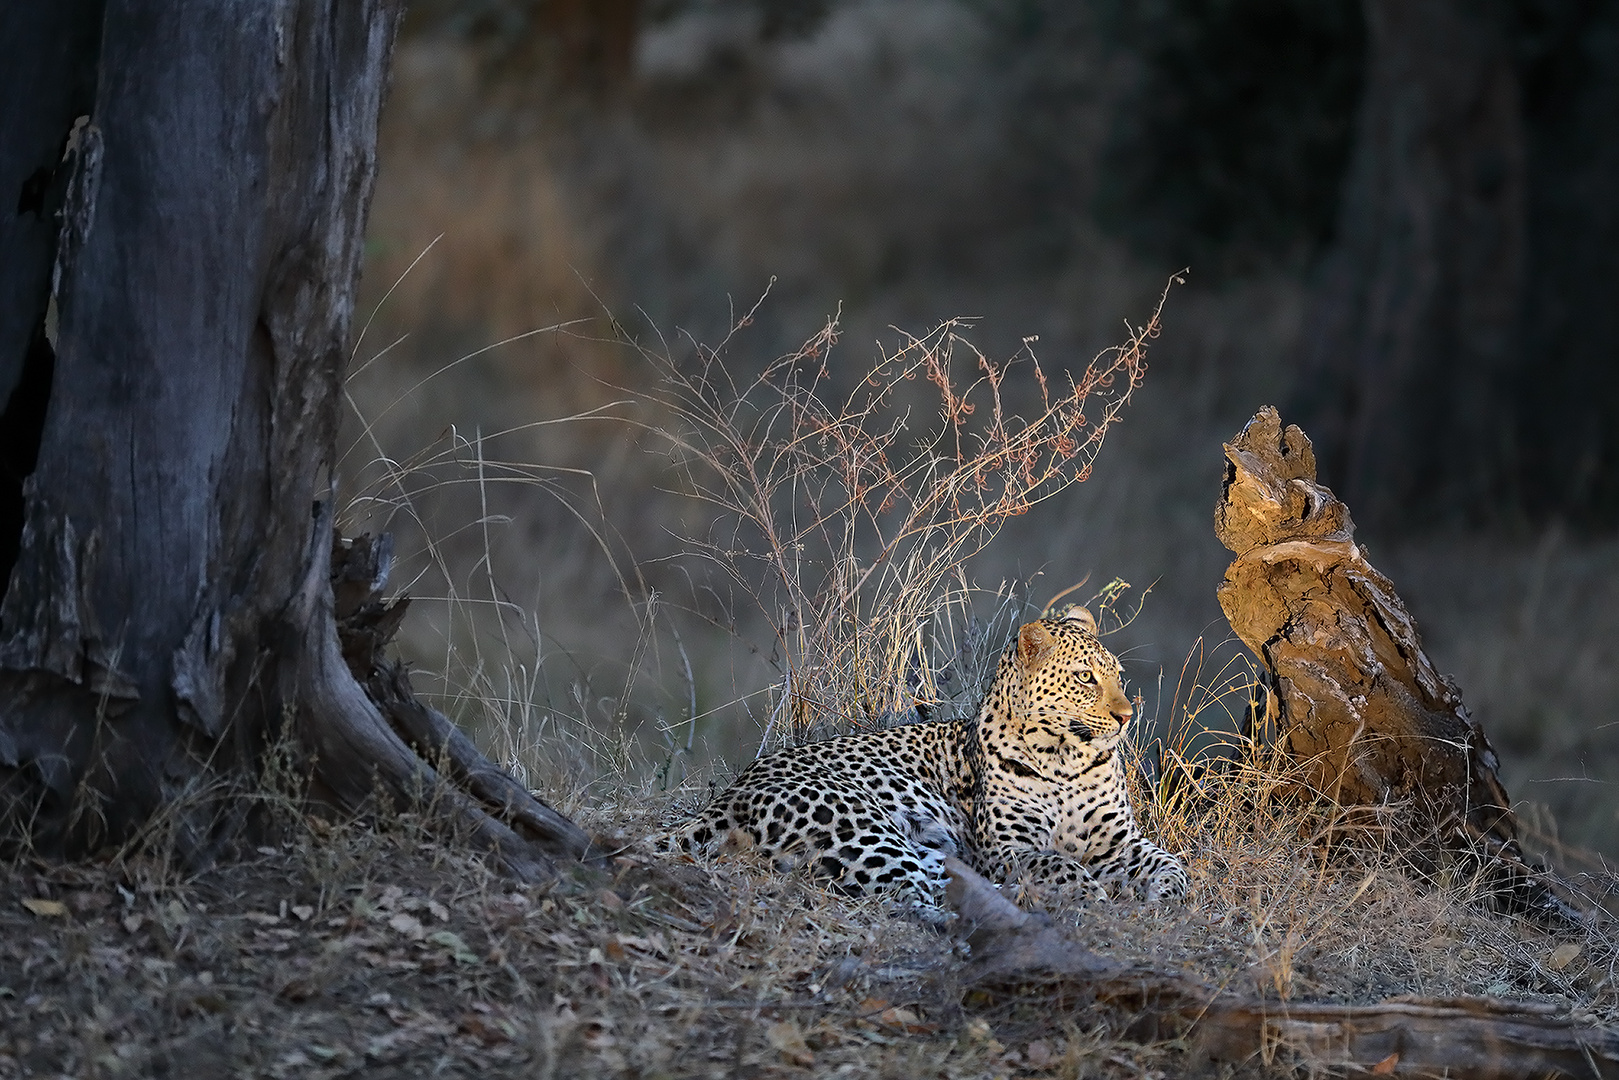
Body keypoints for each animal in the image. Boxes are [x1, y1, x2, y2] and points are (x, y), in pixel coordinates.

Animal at [660, 608, 1191, 906]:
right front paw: (1090, 891)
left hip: (916, 849)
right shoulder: (1007, 849)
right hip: (863, 828)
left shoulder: (1117, 843)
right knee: (919, 895)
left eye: (1118, 675)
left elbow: (1171, 863)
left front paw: (1167, 894)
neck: (1068, 759)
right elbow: (1057, 863)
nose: (1127, 716)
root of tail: (730, 794)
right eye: (1084, 677)